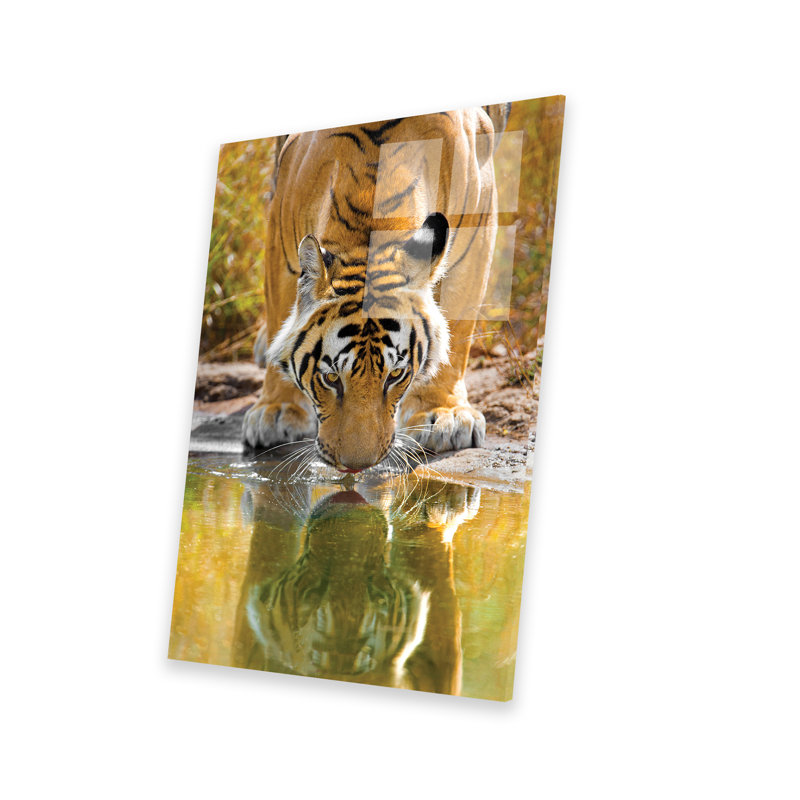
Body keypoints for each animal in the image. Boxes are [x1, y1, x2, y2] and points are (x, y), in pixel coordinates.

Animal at [243, 105, 511, 472]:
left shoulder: (479, 222)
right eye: (330, 379)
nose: (356, 466)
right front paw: (277, 408)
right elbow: (279, 312)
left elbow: (457, 328)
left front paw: (444, 414)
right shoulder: (280, 242)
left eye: (395, 375)